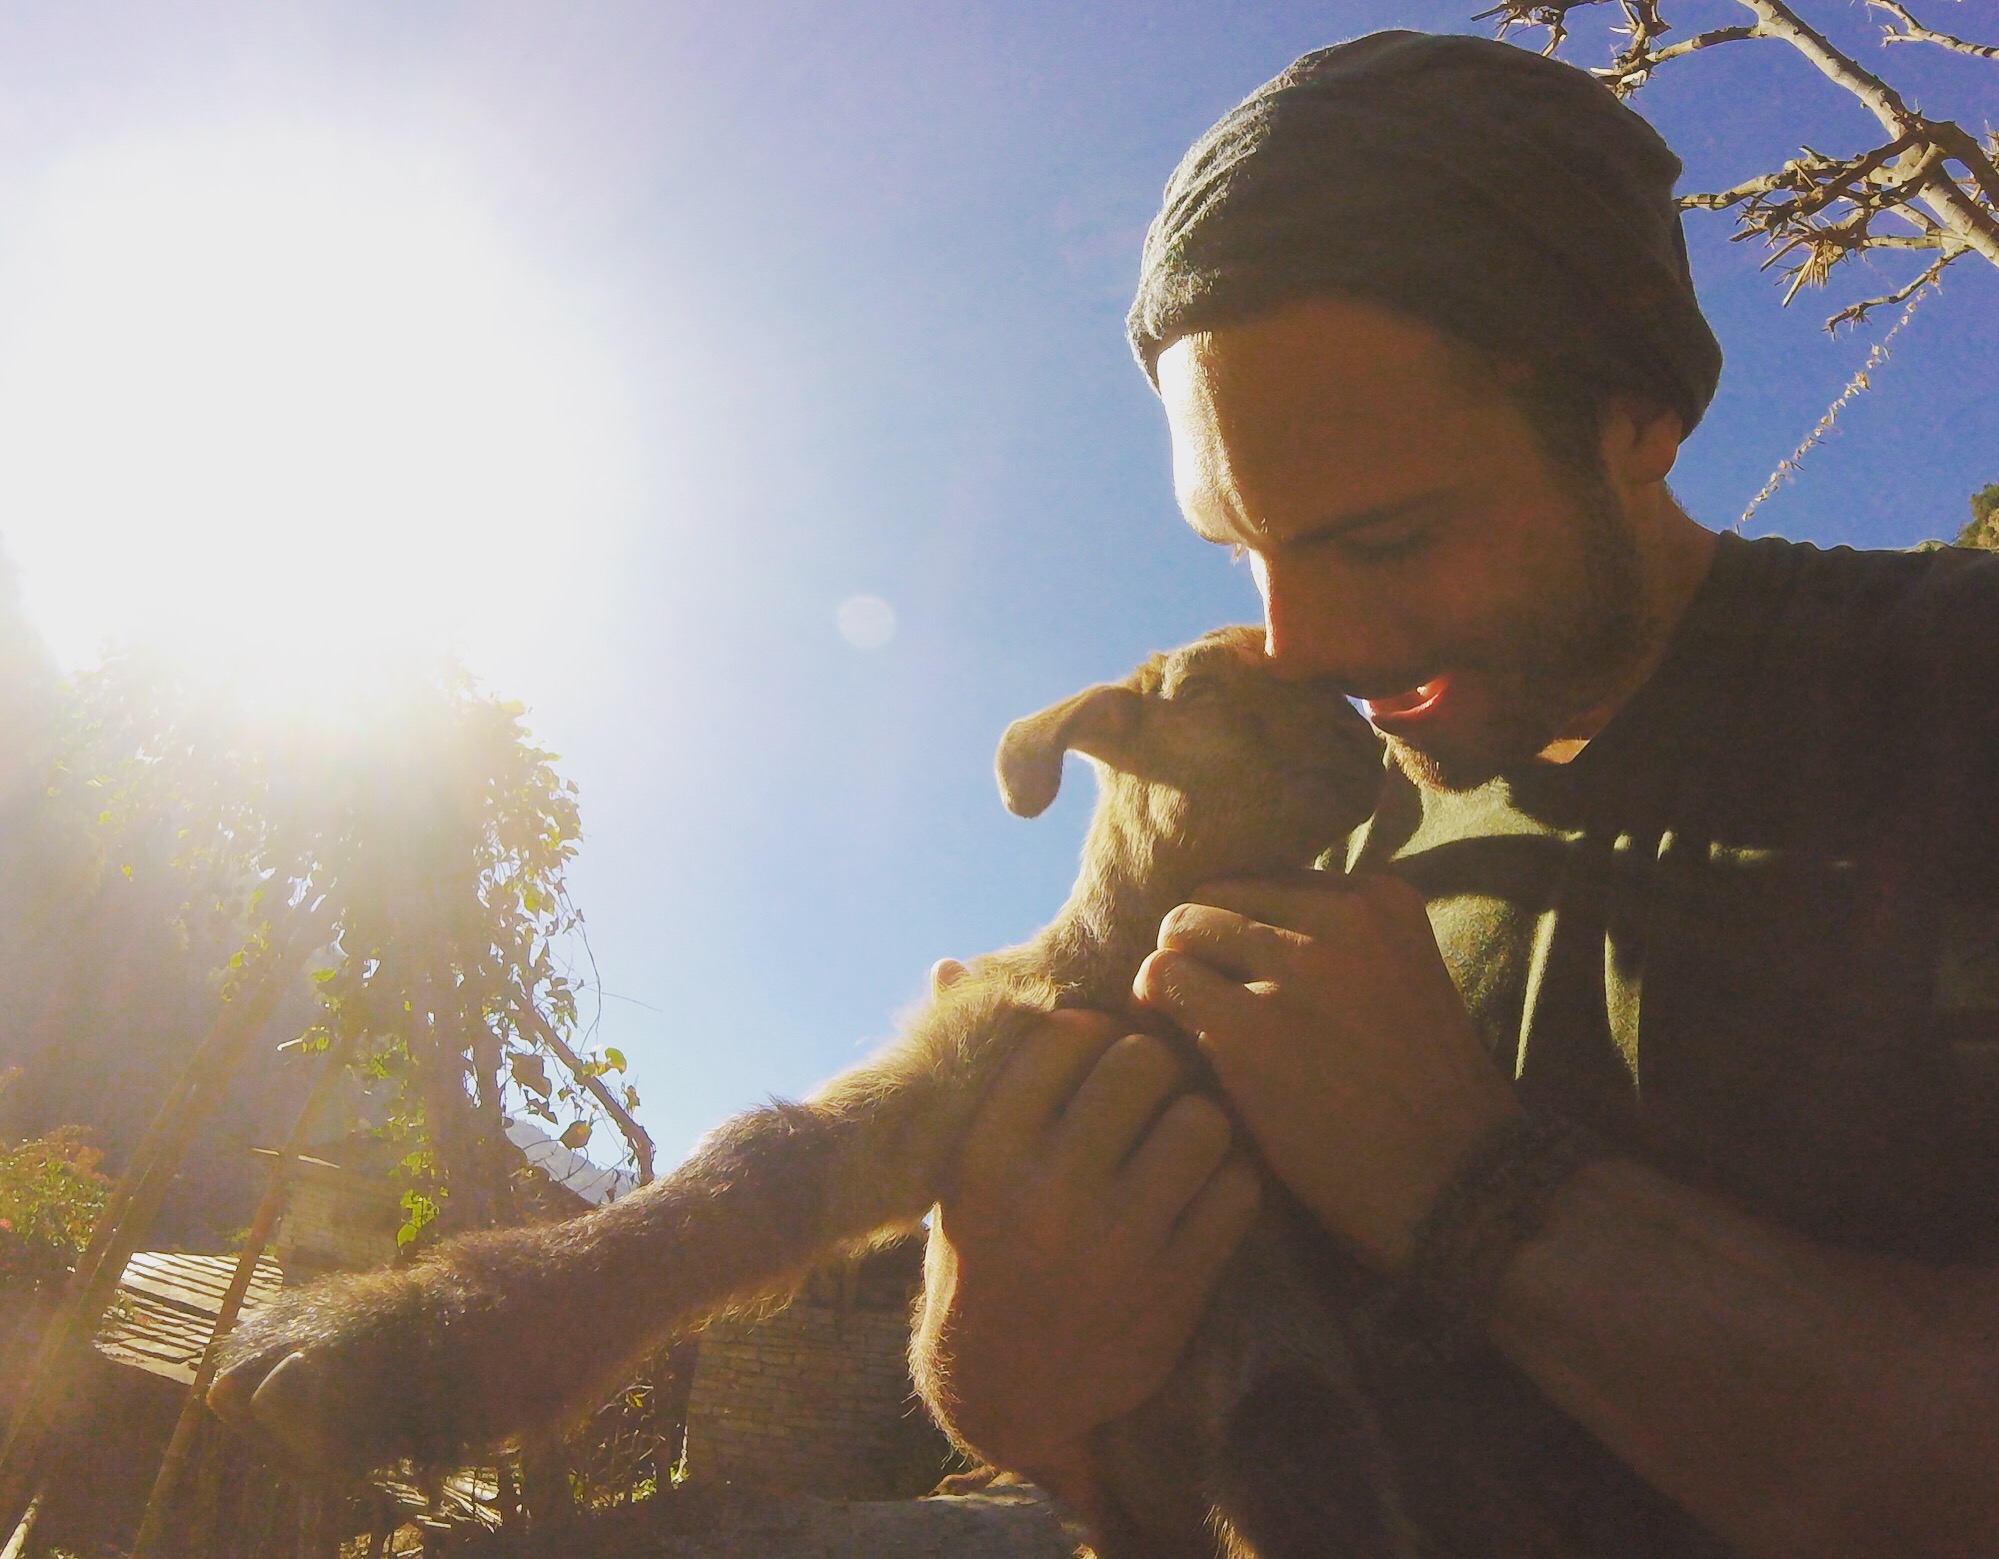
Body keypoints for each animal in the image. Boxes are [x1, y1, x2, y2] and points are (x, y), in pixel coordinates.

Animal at [214, 623, 1407, 1559]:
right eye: (1197, 691)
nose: (1364, 750)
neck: (1128, 990)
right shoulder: (947, 1082)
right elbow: (749, 1176)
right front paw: (383, 1351)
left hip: (1267, 1414)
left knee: (1295, 1464)